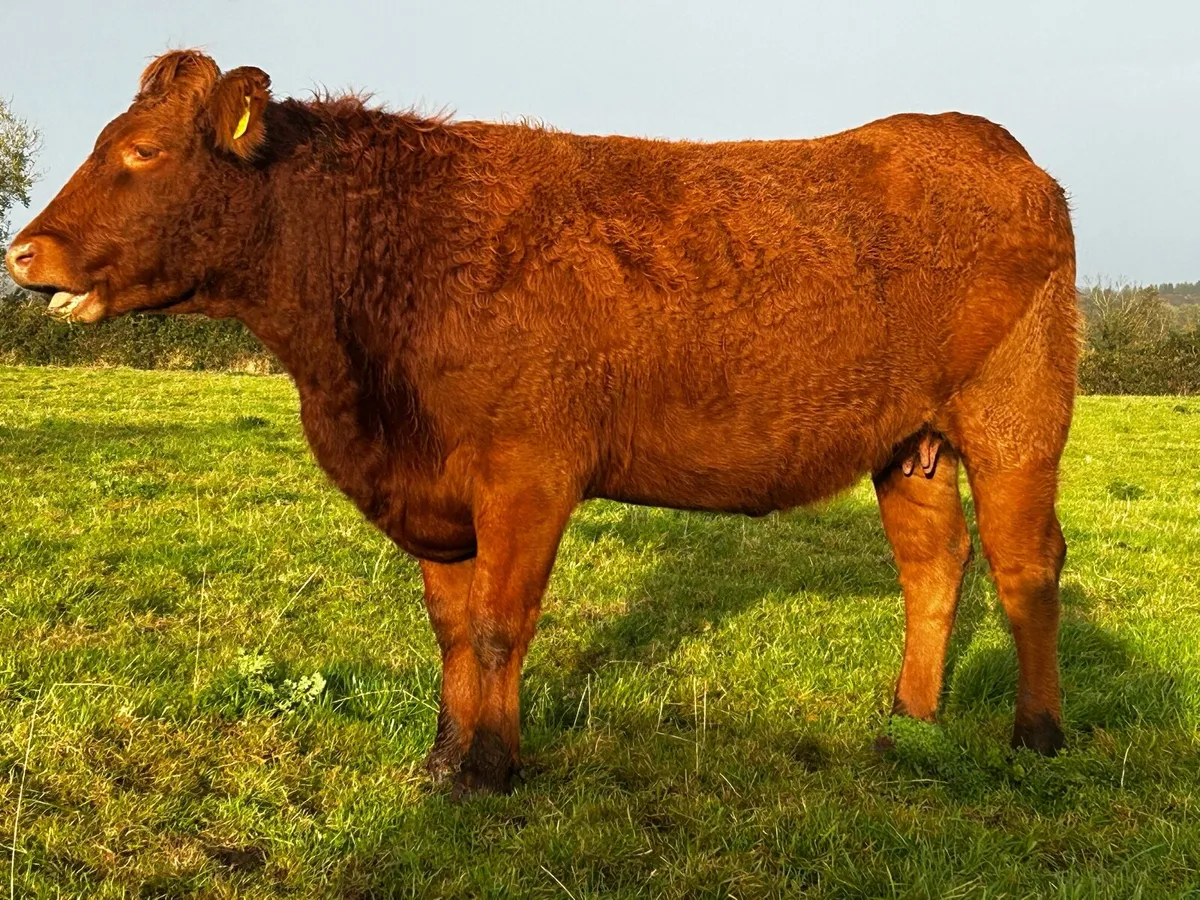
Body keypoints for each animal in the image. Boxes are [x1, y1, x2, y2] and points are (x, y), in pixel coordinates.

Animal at [6, 51, 1079, 796]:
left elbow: (497, 626)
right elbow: (449, 629)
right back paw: (908, 725)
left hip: (1019, 415)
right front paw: (444, 759)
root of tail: (991, 144)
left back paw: (1037, 739)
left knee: (1026, 565)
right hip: (909, 445)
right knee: (934, 564)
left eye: (142, 151)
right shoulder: (436, 494)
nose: (23, 251)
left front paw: (491, 769)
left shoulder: (527, 472)